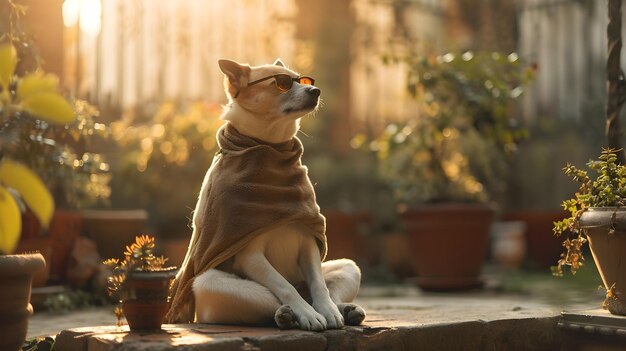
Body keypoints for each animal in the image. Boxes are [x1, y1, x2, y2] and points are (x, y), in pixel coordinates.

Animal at [178, 59, 364, 332]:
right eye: (281, 83)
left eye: (304, 80)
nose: (316, 91)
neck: (270, 151)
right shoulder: (249, 254)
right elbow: (284, 287)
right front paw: (307, 314)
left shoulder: (308, 241)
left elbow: (319, 285)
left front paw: (329, 311)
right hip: (207, 283)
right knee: (271, 301)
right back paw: (288, 315)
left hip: (350, 266)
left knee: (323, 287)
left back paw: (343, 309)